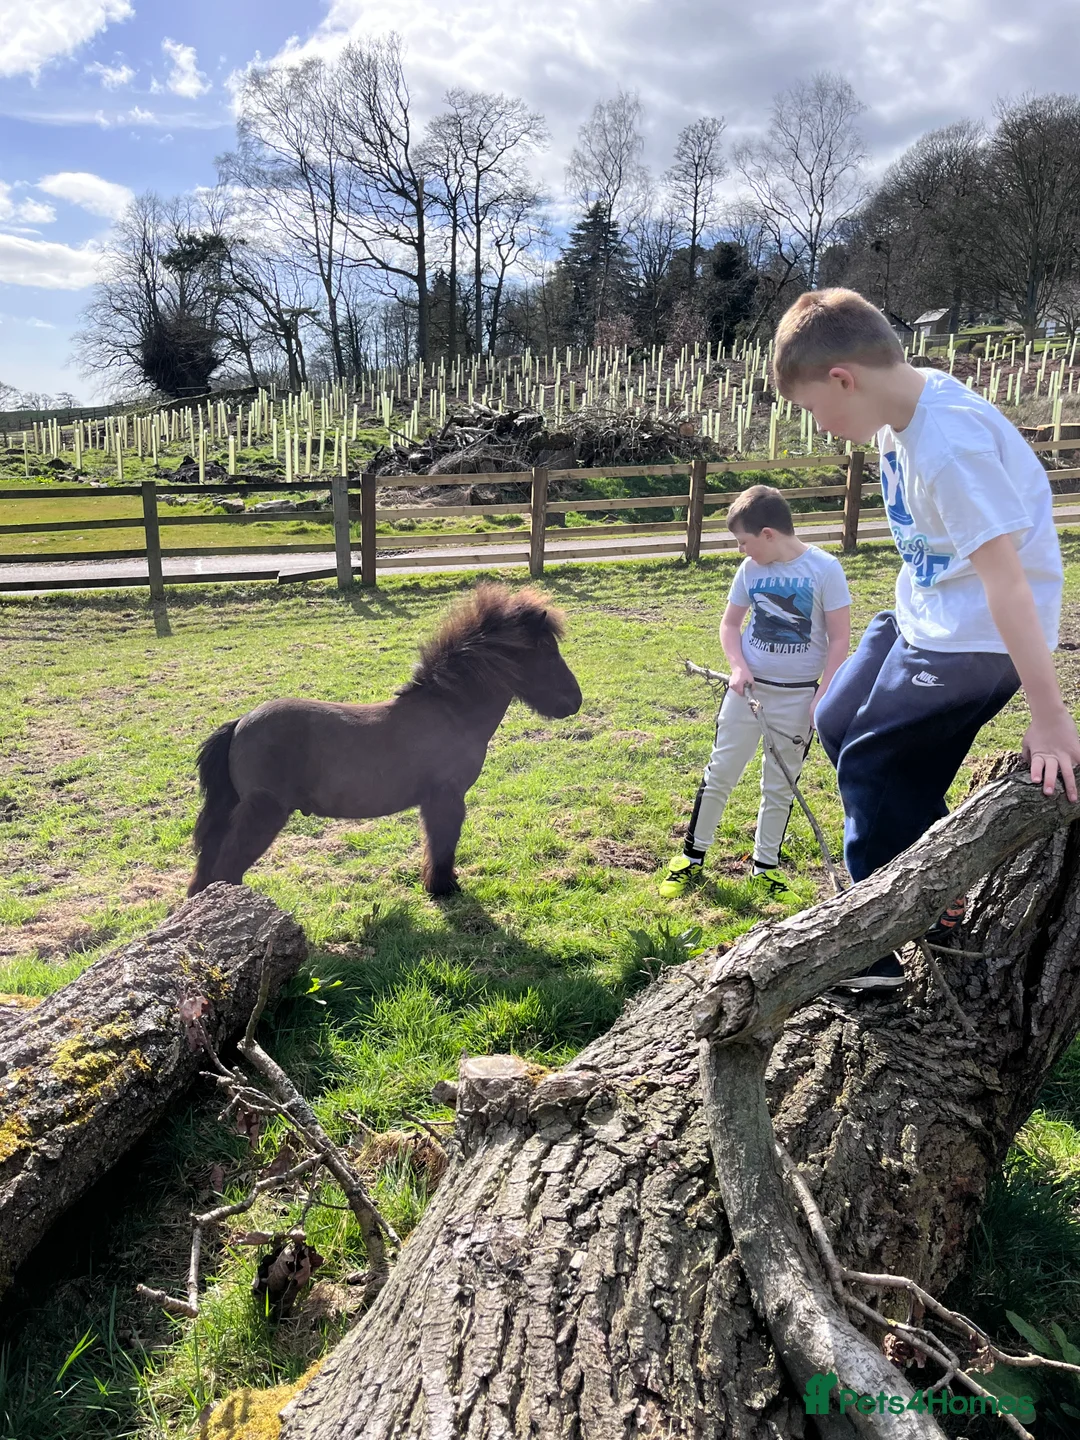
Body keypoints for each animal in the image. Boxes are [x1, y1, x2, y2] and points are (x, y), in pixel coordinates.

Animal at [187, 582, 583, 897]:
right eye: (547, 650)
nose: (574, 701)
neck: (451, 713)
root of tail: (240, 724)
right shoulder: (446, 797)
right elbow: (442, 844)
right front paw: (444, 888)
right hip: (263, 812)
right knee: (225, 869)